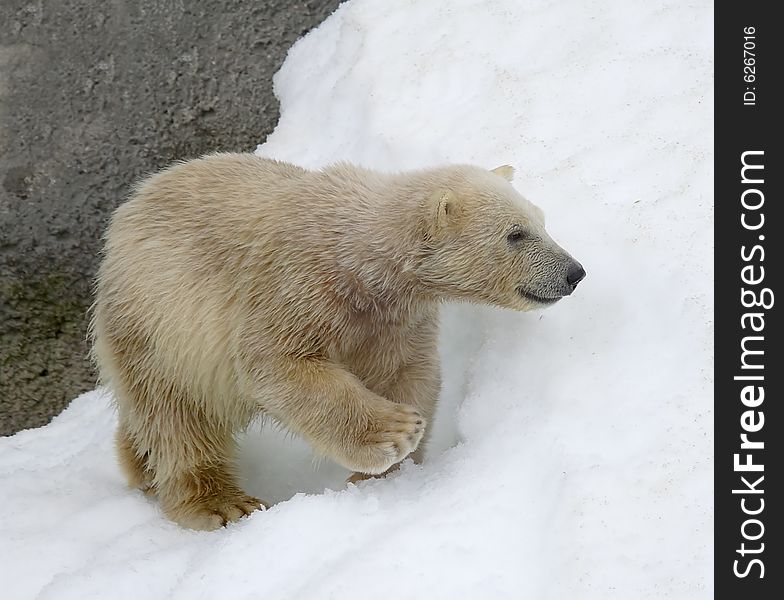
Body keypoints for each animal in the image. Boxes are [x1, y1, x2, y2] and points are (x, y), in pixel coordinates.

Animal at [90, 155, 580, 528]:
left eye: (541, 221)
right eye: (515, 233)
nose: (574, 272)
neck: (363, 258)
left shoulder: (393, 318)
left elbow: (410, 372)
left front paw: (390, 470)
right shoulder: (298, 283)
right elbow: (277, 363)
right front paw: (394, 435)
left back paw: (138, 464)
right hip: (154, 323)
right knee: (177, 417)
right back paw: (222, 504)